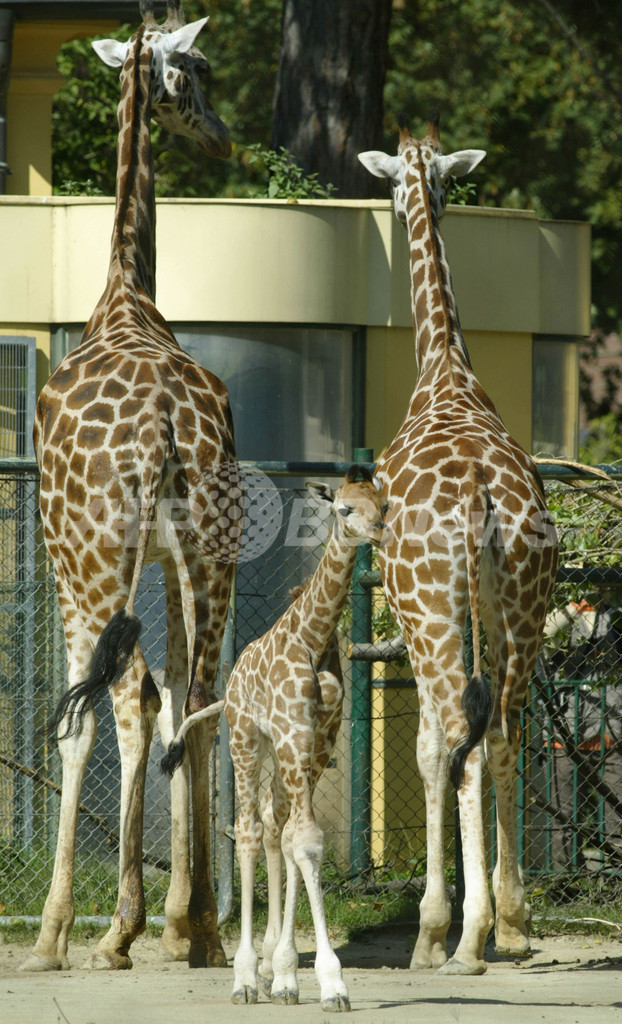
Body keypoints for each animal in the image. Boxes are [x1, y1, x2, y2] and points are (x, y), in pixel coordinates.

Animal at [161, 468, 385, 1011]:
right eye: (344, 509)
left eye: (384, 504)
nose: (379, 532)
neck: (312, 637)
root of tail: (232, 683)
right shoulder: (291, 732)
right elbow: (302, 840)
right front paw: (331, 982)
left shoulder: (318, 739)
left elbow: (299, 840)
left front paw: (290, 974)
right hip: (246, 740)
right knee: (247, 830)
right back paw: (244, 976)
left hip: (282, 754)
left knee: (271, 823)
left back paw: (270, 971)